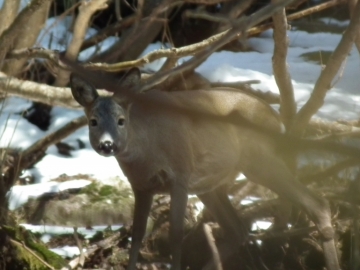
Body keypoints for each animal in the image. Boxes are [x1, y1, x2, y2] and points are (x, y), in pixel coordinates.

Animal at [70, 67, 344, 270]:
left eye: (121, 120)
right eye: (92, 121)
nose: (108, 145)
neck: (147, 151)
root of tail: (277, 118)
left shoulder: (180, 175)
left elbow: (176, 235)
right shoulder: (141, 186)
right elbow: (136, 235)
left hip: (259, 161)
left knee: (317, 203)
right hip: (211, 184)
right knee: (237, 230)